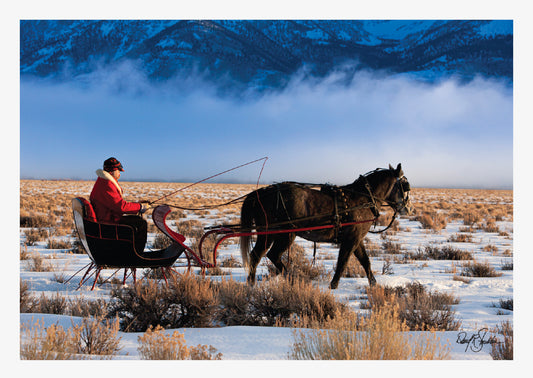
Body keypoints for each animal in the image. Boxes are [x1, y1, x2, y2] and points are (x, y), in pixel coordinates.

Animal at [239, 163, 410, 290]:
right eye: (405, 185)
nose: (408, 209)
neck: (363, 199)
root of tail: (260, 193)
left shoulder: (356, 239)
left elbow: (365, 261)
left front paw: (374, 284)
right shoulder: (351, 240)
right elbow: (342, 262)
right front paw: (333, 285)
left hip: (268, 234)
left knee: (256, 255)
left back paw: (252, 284)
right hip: (284, 234)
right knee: (271, 255)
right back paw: (292, 279)